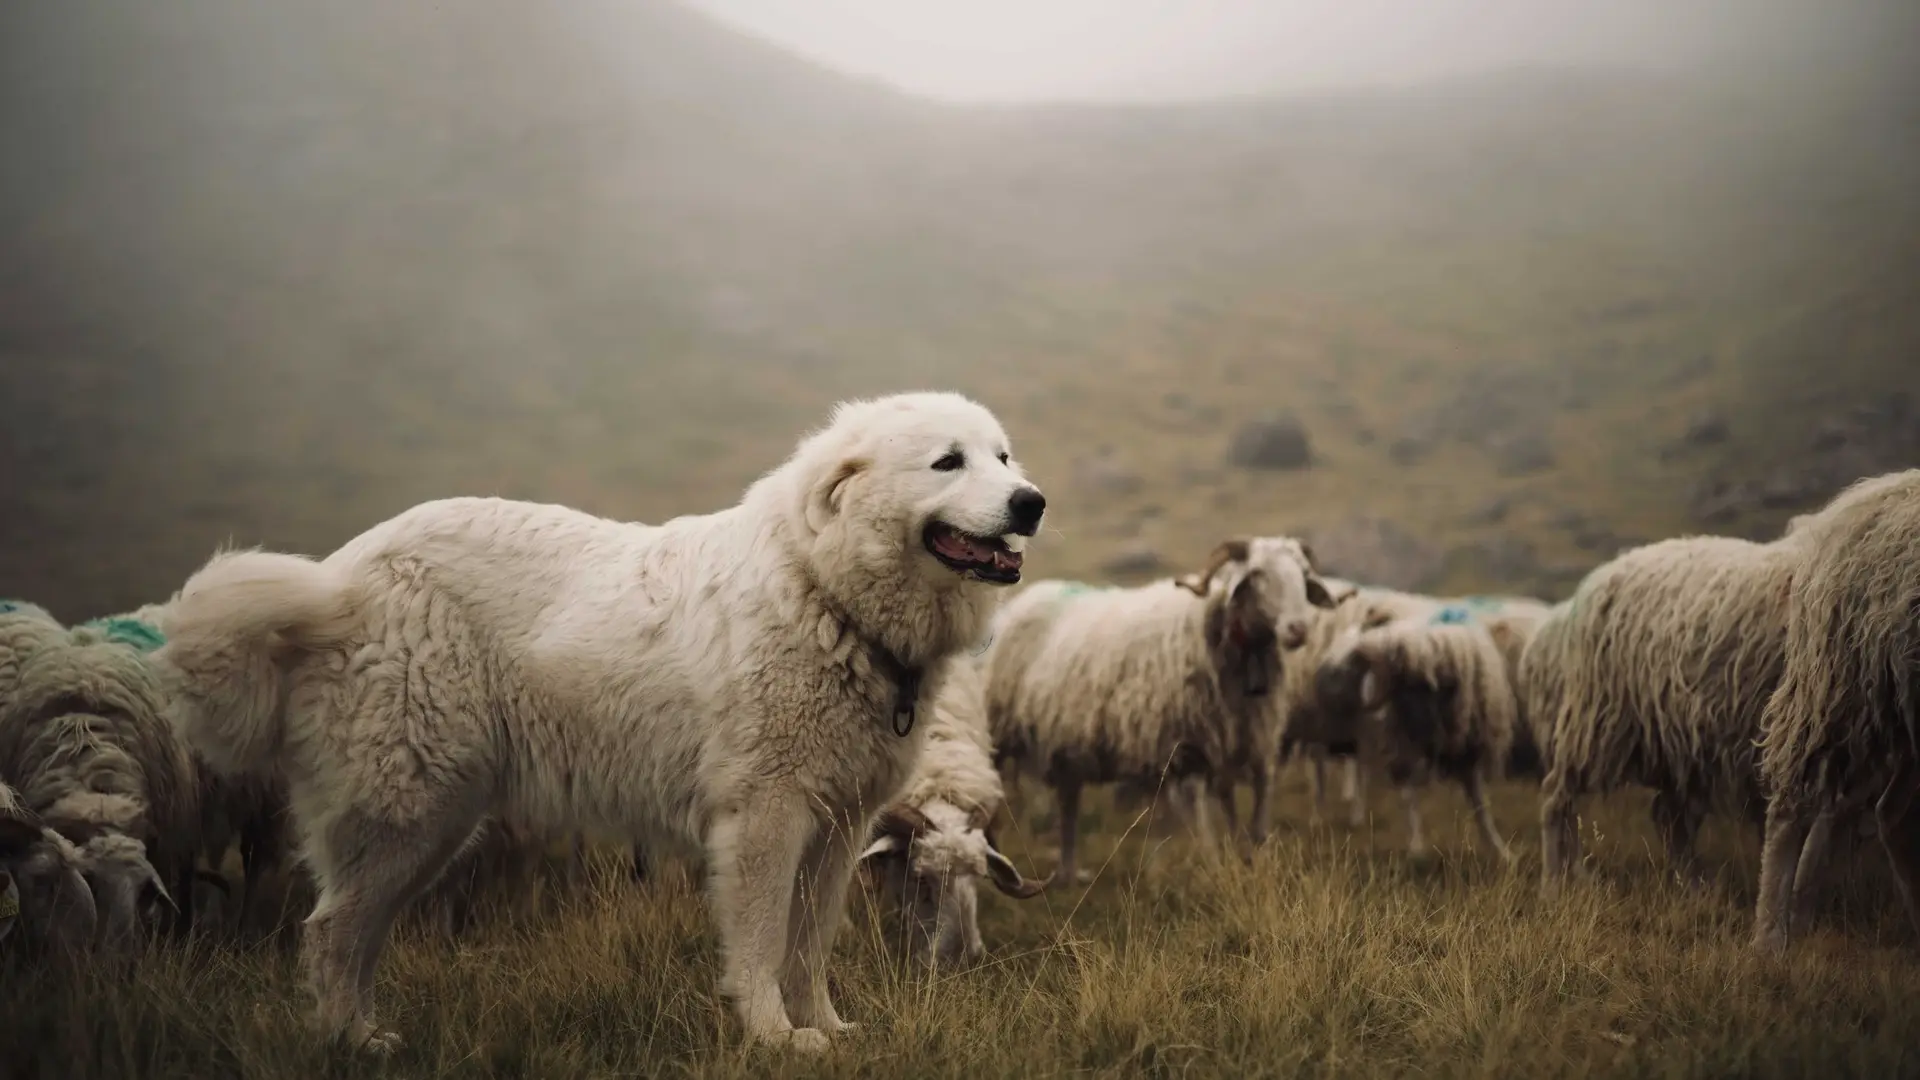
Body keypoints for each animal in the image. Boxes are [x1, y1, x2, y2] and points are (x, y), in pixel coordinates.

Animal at [983, 530, 1344, 883]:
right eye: (1256, 574)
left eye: (1304, 575)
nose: (1298, 630)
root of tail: (1020, 602)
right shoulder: (1186, 748)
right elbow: (1200, 816)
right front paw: (1213, 865)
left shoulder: (1248, 741)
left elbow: (1251, 809)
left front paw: (1250, 858)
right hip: (997, 735)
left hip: (1067, 748)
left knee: (1068, 805)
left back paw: (1068, 873)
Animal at [1520, 526, 1804, 895]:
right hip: (1597, 723)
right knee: (1558, 798)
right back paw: (1556, 883)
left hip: (1683, 746)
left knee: (1669, 817)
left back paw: (1694, 888)